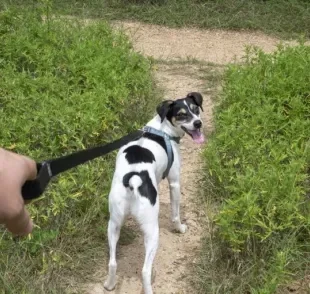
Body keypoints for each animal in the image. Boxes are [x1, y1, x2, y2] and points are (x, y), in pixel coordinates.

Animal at [104, 92, 205, 294]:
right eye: (181, 115)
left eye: (195, 109)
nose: (198, 123)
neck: (163, 129)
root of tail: (133, 178)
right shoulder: (174, 183)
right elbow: (175, 214)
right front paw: (180, 228)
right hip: (152, 230)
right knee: (144, 271)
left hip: (113, 224)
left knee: (112, 263)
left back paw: (110, 285)